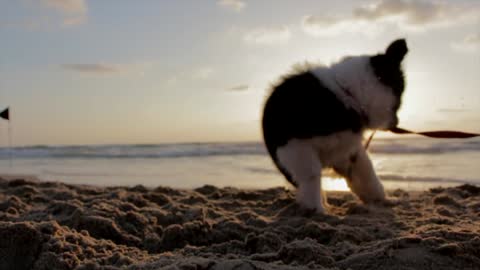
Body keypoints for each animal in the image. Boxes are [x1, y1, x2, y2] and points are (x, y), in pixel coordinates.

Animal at [262, 39, 408, 213]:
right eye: (399, 101)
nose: (396, 124)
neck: (346, 94)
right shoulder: (297, 148)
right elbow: (311, 176)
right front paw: (317, 208)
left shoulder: (348, 151)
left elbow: (367, 173)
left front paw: (382, 200)